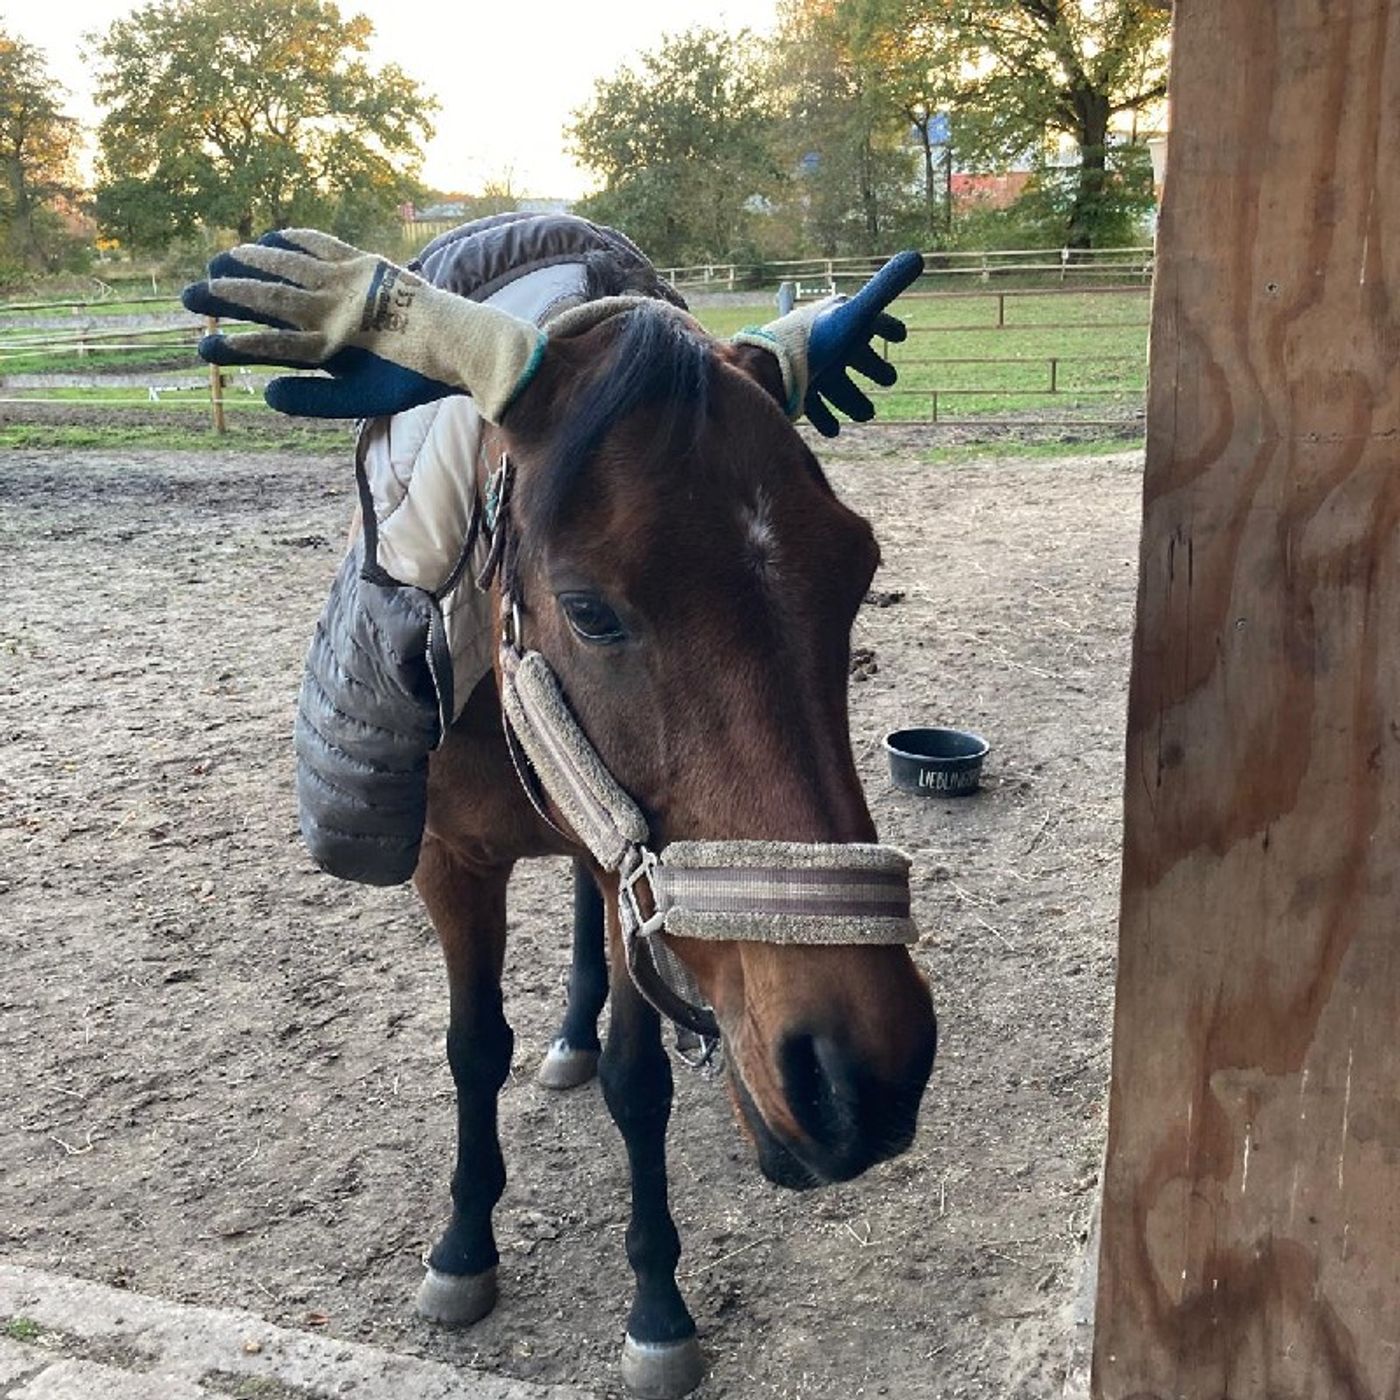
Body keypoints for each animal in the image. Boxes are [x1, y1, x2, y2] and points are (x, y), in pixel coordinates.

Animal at [184, 229, 938, 1399]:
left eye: (855, 573)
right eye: (589, 610)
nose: (865, 1073)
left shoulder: (619, 871)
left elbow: (639, 1080)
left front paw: (657, 1304)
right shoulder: (448, 864)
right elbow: (470, 1046)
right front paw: (462, 1247)